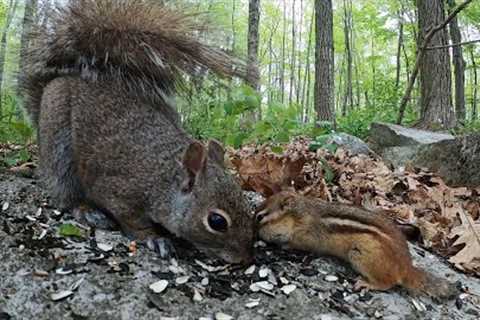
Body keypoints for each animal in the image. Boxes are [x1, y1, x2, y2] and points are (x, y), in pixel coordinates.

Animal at [21, 0, 255, 264]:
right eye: (217, 221)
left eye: (247, 203)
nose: (246, 257)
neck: (164, 179)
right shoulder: (117, 191)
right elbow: (132, 221)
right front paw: (155, 238)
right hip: (59, 145)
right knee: (66, 194)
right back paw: (88, 211)